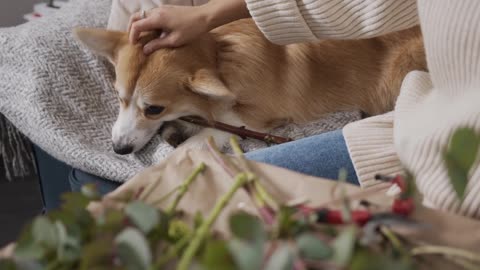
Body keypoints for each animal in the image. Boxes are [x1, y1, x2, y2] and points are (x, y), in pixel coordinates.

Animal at [73, 18, 426, 154]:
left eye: (154, 108)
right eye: (119, 98)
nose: (119, 149)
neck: (220, 57)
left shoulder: (253, 119)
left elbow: (205, 137)